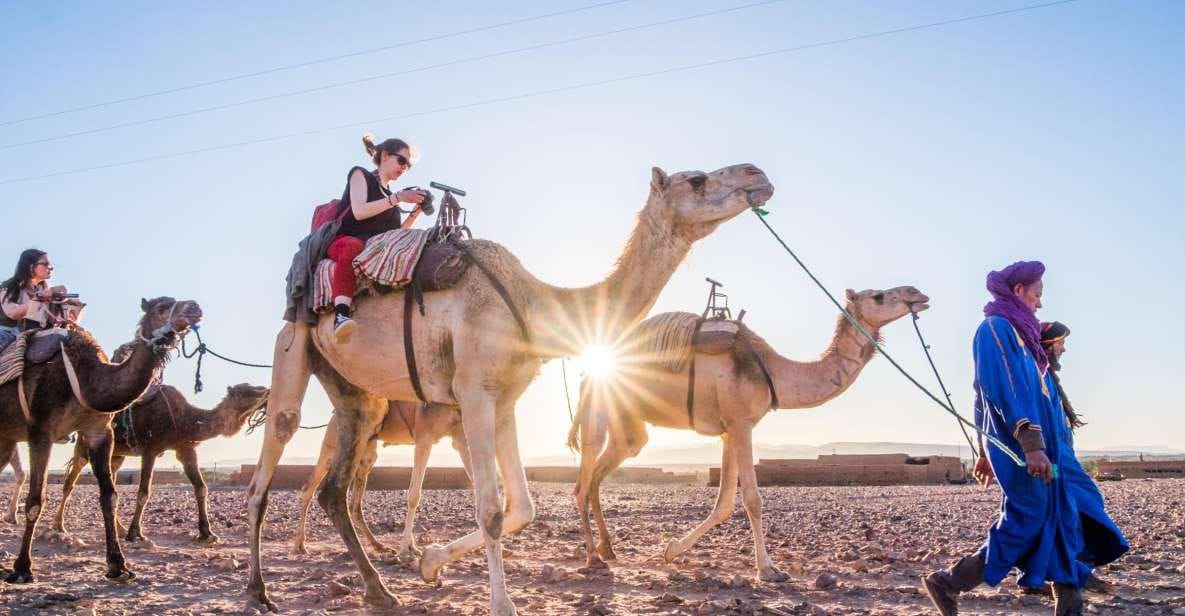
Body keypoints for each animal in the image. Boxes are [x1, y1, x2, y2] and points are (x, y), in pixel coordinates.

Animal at [0, 297, 201, 582]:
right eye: (162, 307)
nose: (195, 307)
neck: (87, 378)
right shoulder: (40, 431)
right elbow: (35, 500)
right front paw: (22, 568)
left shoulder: (100, 432)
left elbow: (110, 496)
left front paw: (119, 565)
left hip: (6, 435)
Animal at [52, 381, 268, 547]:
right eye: (247, 392)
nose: (267, 391)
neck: (185, 419)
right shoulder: (151, 449)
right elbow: (144, 492)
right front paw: (135, 534)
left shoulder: (185, 449)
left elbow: (201, 488)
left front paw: (207, 533)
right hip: (85, 441)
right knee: (70, 481)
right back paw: (58, 527)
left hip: (117, 453)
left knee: (111, 481)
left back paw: (119, 529)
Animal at [289, 400, 464, 559]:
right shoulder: (424, 438)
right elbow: (414, 495)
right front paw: (406, 548)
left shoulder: (458, 434)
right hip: (333, 446)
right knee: (310, 489)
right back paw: (300, 544)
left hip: (366, 453)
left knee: (353, 505)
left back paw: (378, 546)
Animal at [568, 286, 929, 580]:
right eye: (878, 296)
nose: (918, 294)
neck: (773, 370)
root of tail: (588, 373)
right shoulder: (741, 423)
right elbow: (753, 498)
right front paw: (768, 569)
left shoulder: (729, 430)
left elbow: (725, 503)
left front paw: (672, 550)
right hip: (598, 409)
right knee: (582, 480)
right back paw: (592, 557)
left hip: (628, 424)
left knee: (604, 470)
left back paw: (607, 549)